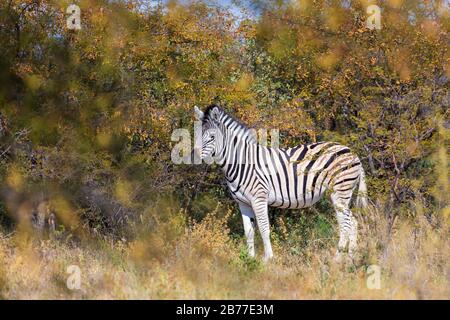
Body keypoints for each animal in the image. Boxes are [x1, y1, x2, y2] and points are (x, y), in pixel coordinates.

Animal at [193, 104, 370, 262]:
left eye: (212, 137)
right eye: (197, 135)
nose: (194, 157)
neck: (241, 162)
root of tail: (352, 153)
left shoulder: (259, 198)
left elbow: (264, 228)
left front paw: (268, 259)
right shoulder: (243, 203)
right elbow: (248, 232)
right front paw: (249, 260)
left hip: (340, 191)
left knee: (346, 223)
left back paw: (338, 258)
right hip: (338, 194)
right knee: (352, 222)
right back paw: (351, 258)